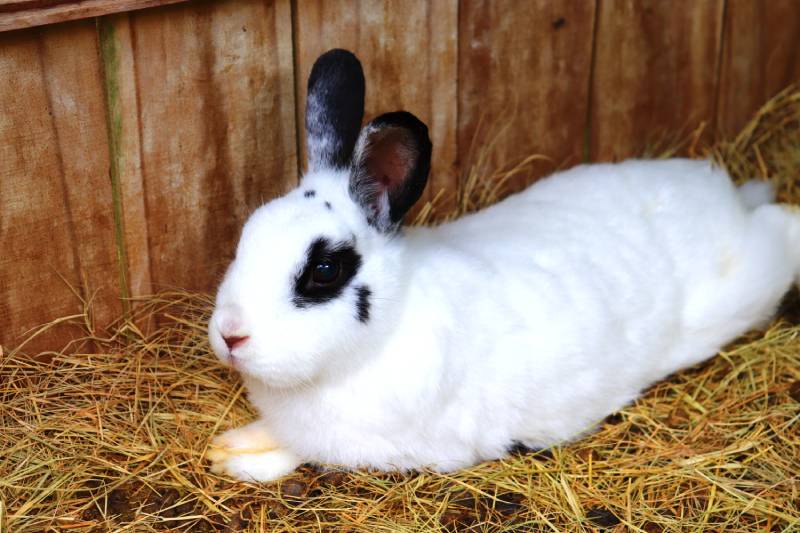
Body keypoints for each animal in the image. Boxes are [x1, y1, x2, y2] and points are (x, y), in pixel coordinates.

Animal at [206, 49, 800, 482]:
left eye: (325, 271)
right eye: (247, 235)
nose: (231, 335)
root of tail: (722, 194)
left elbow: (301, 450)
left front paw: (237, 457)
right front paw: (226, 446)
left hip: (743, 288)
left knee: (780, 227)